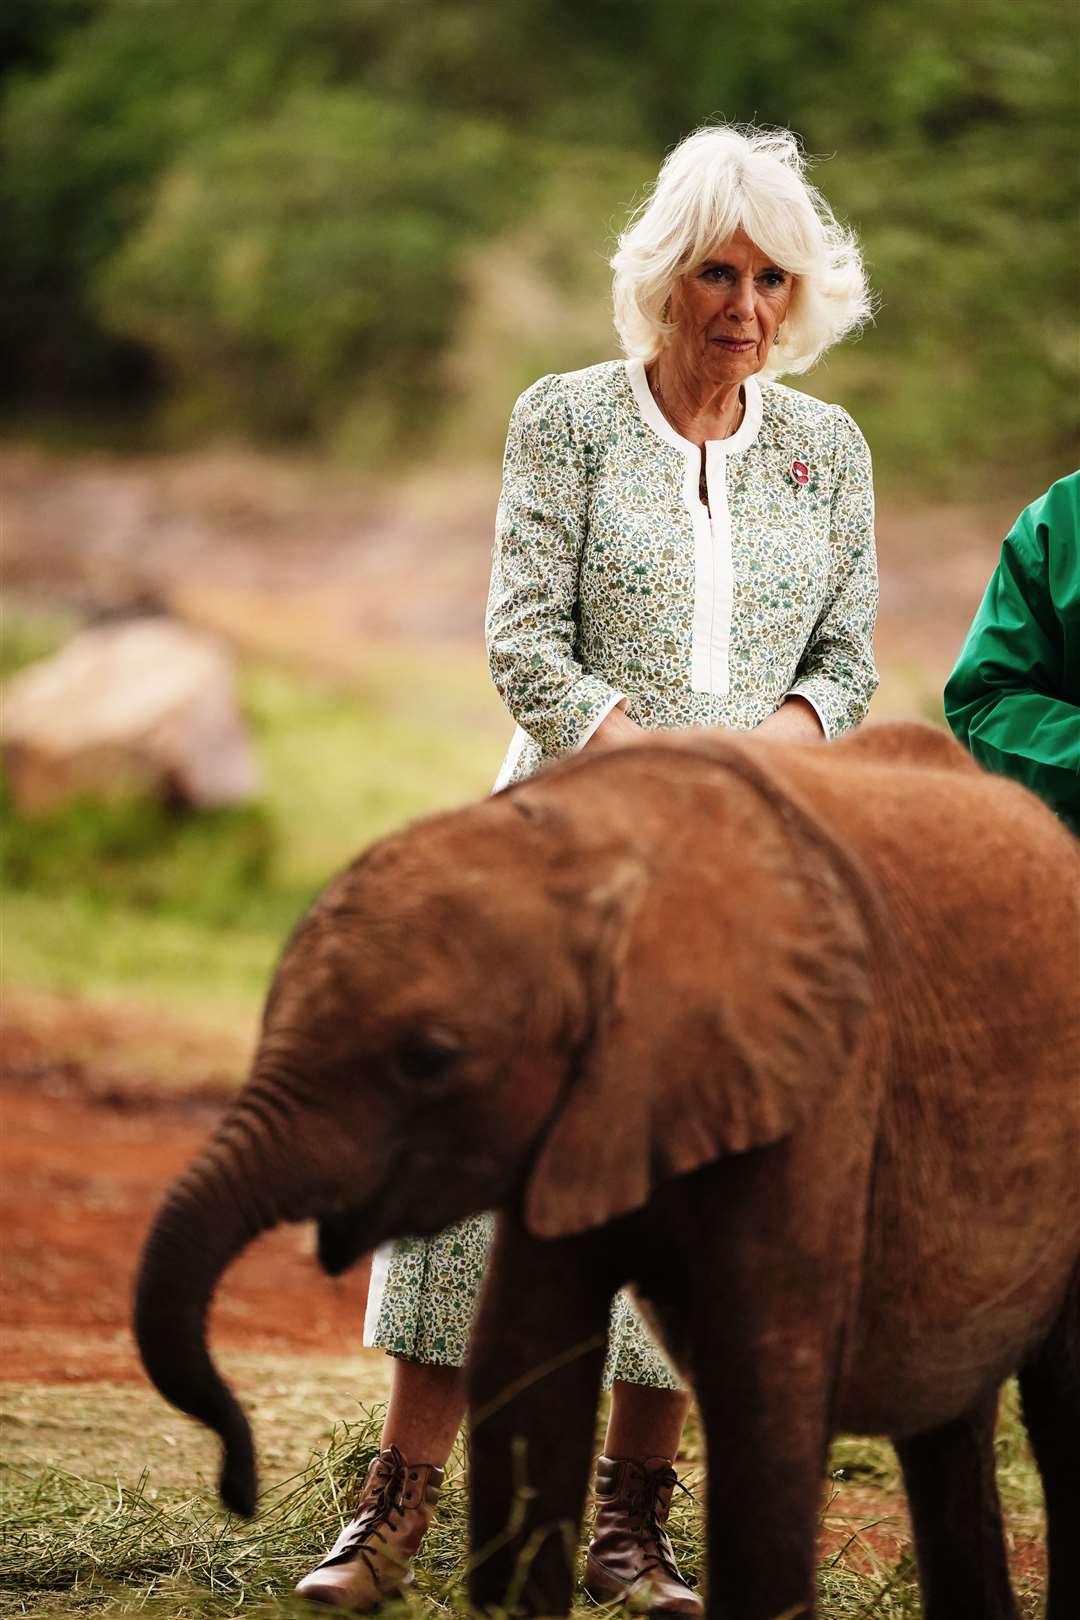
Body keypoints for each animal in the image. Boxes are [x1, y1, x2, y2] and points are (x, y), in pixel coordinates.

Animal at [137, 729, 1080, 1620]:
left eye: (427, 1059)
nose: (237, 1486)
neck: (609, 854)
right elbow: (526, 1360)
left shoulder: (829, 1078)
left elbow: (764, 1383)